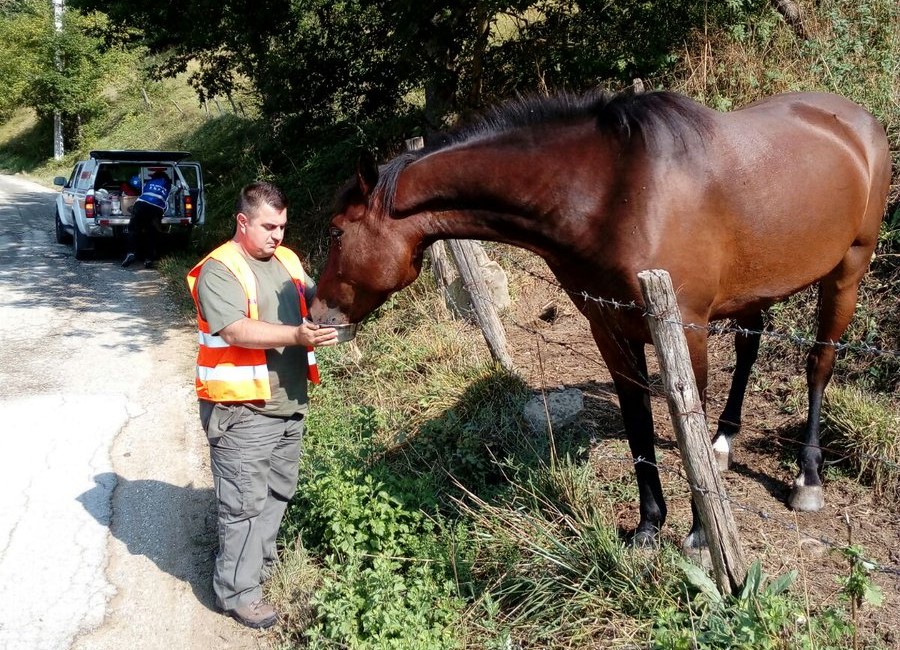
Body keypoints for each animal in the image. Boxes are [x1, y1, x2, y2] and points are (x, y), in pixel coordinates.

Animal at [310, 90, 892, 548]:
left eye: (336, 232)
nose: (318, 312)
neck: (614, 194)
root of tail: (858, 121)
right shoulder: (610, 329)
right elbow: (638, 424)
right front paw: (649, 527)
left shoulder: (685, 331)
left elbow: (687, 422)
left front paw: (701, 535)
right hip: (758, 284)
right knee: (750, 347)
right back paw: (726, 443)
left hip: (848, 270)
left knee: (819, 364)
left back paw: (807, 477)